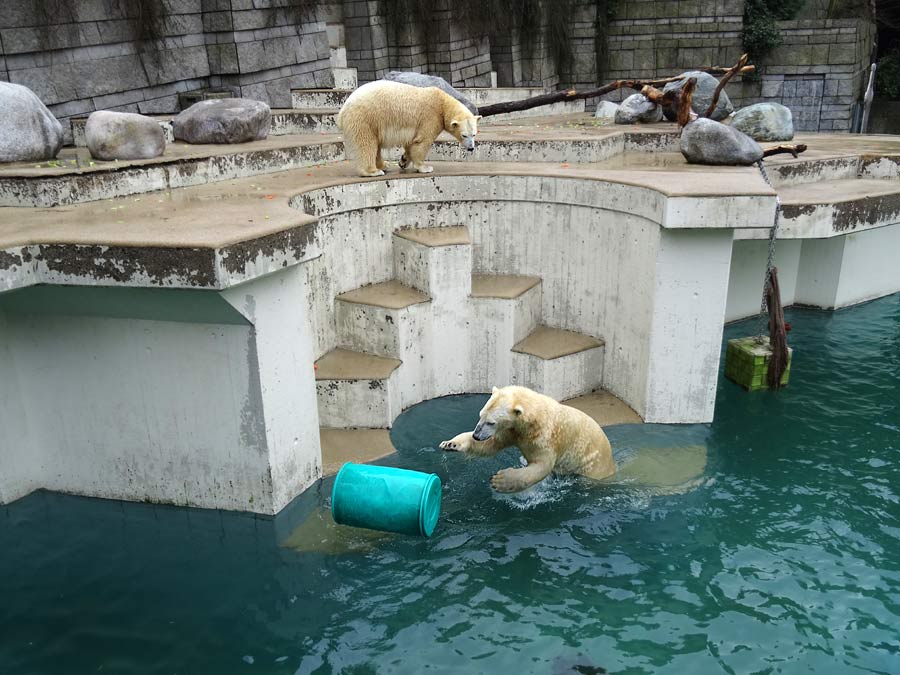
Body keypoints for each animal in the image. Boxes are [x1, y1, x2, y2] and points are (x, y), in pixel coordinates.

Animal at [336, 80, 478, 177]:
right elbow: (422, 142)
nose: (471, 148)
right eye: (464, 135)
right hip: (365, 118)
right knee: (366, 143)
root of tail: (343, 110)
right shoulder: (430, 117)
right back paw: (374, 171)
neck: (442, 103)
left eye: (474, 134)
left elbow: (411, 143)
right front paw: (425, 168)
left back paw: (384, 165)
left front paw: (403, 160)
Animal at [440, 388, 616, 494]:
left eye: (491, 422)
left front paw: (499, 481)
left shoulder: (546, 439)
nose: (476, 435)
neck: (534, 420)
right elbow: (489, 445)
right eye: (480, 415)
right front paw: (450, 444)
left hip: (592, 465)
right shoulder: (512, 431)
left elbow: (541, 467)